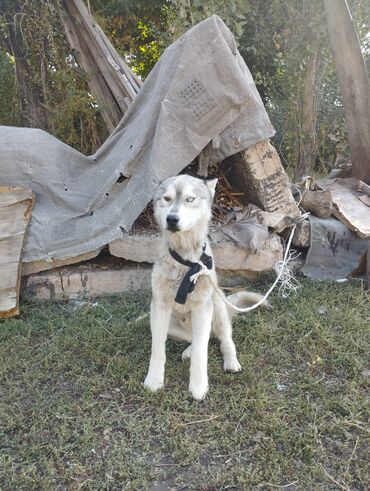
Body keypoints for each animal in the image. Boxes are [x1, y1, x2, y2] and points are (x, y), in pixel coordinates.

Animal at [144, 175, 264, 402]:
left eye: (190, 199)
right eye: (167, 198)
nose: (172, 219)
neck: (184, 260)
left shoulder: (203, 307)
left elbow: (202, 353)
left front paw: (198, 386)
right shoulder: (159, 307)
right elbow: (158, 349)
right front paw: (154, 380)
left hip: (217, 307)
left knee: (222, 340)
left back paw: (231, 362)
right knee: (199, 338)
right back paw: (188, 350)